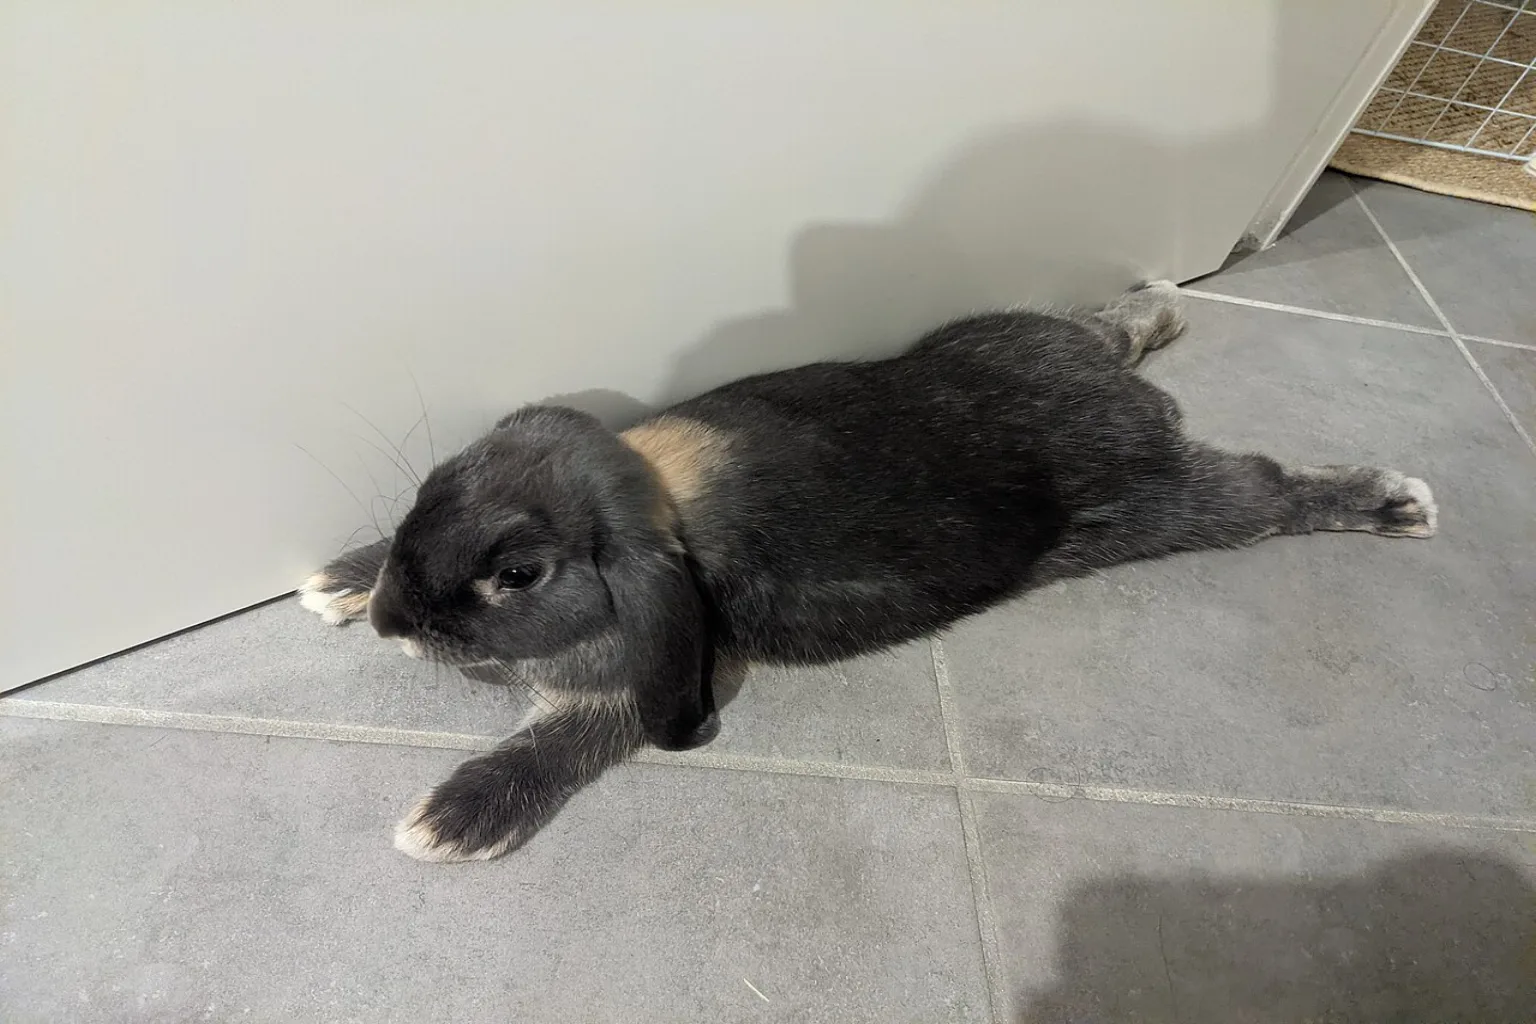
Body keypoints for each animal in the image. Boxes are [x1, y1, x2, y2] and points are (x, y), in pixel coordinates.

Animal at [299, 281, 1436, 862]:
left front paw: (448, 820)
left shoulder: (654, 675)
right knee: (1108, 326)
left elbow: (569, 735)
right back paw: (1158, 302)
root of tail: (1138, 405)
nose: (393, 621)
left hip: (1162, 507)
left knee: (1266, 490)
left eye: (521, 575)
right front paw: (335, 580)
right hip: (1027, 336)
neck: (651, 487)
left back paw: (1394, 502)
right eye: (427, 492)